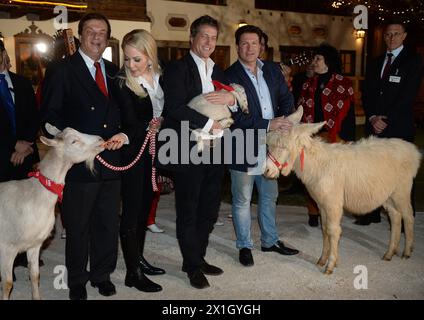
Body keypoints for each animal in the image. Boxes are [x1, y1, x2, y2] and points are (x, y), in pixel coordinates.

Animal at [0, 124, 105, 298]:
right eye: (74, 141)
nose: (100, 139)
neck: (35, 194)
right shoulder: (7, 247)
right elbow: (7, 283)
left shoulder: (34, 244)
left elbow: (35, 275)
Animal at [264, 107, 420, 276]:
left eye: (283, 146)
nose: (266, 171)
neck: (318, 165)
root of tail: (413, 150)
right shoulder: (322, 204)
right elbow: (325, 230)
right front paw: (322, 259)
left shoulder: (333, 204)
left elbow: (333, 231)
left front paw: (330, 265)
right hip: (388, 194)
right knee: (396, 217)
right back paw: (389, 253)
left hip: (402, 190)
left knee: (408, 216)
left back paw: (406, 252)